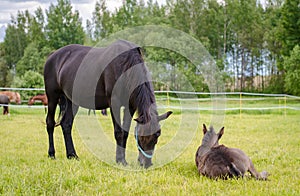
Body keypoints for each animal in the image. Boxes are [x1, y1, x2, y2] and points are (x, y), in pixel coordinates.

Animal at [43, 40, 172, 168]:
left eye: (157, 135)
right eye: (140, 136)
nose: (146, 164)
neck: (125, 65)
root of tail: (53, 55)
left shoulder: (130, 106)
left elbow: (125, 132)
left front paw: (122, 160)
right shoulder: (114, 103)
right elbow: (118, 132)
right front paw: (120, 160)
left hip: (71, 101)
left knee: (66, 124)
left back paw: (72, 155)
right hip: (52, 97)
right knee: (50, 123)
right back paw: (51, 154)